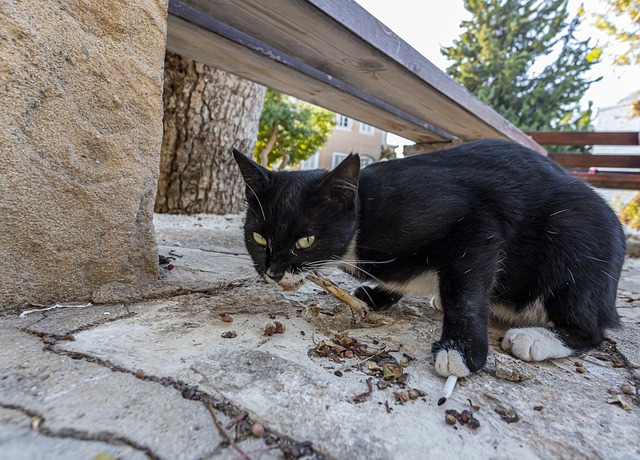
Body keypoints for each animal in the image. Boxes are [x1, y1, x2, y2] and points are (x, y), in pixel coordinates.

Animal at [231, 140, 624, 378]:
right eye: (258, 237)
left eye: (306, 240)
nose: (273, 271)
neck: (364, 213)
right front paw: (377, 294)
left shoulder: (478, 217)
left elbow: (465, 289)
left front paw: (461, 349)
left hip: (573, 235)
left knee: (592, 330)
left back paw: (537, 338)